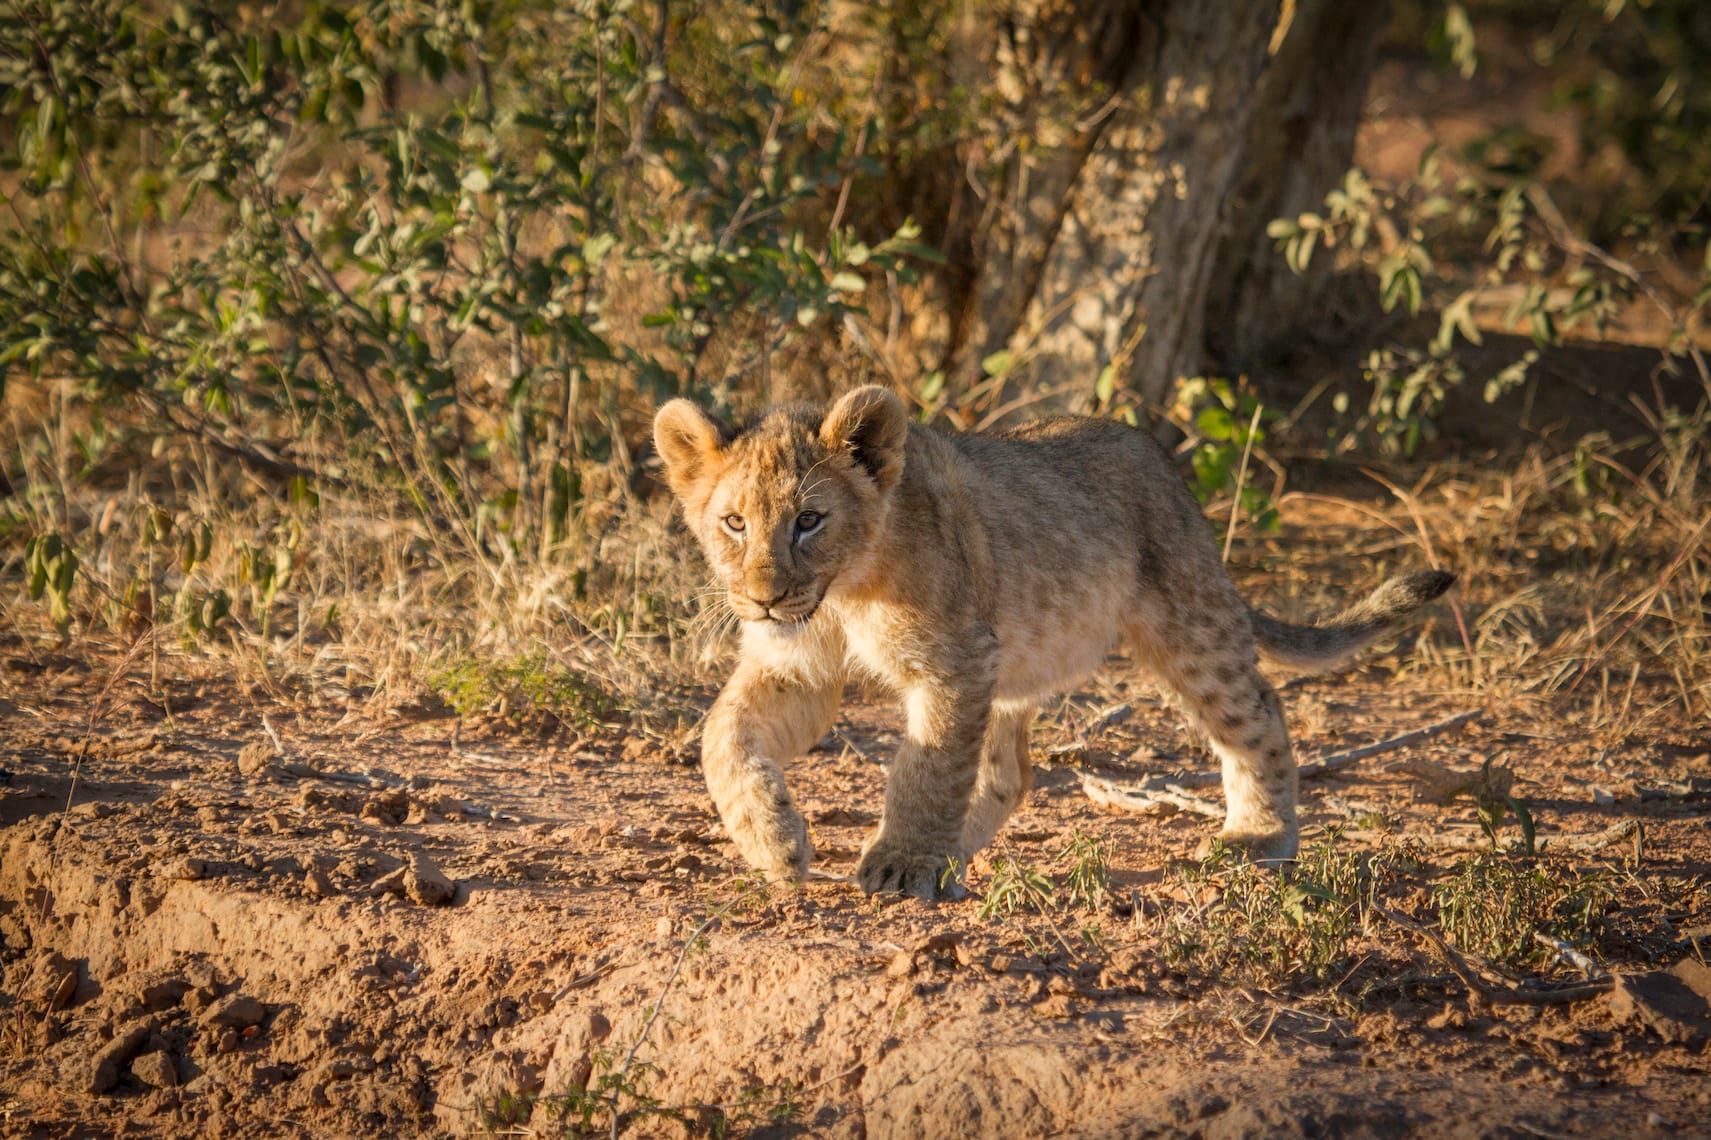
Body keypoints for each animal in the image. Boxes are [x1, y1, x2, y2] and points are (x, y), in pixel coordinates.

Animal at [653, 386, 1453, 899]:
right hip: (1017, 661)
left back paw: (1259, 836)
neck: (842, 593)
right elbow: (721, 737)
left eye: (809, 521)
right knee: (1010, 773)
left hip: (1186, 624)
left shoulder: (951, 662)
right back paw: (958, 855)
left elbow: (927, 768)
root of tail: (1164, 463)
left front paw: (904, 865)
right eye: (734, 523)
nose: (762, 596)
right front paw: (774, 843)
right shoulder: (797, 666)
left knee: (1256, 710)